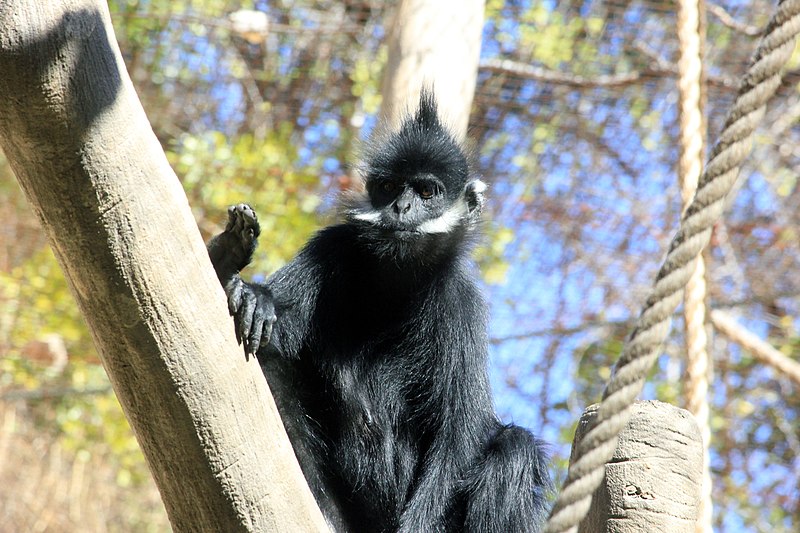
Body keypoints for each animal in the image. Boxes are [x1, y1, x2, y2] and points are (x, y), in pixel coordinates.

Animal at [206, 91, 552, 532]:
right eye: (388, 188)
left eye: (427, 191)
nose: (401, 207)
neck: (395, 283)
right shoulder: (331, 247)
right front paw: (241, 277)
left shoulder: (461, 305)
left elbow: (457, 438)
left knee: (514, 448)